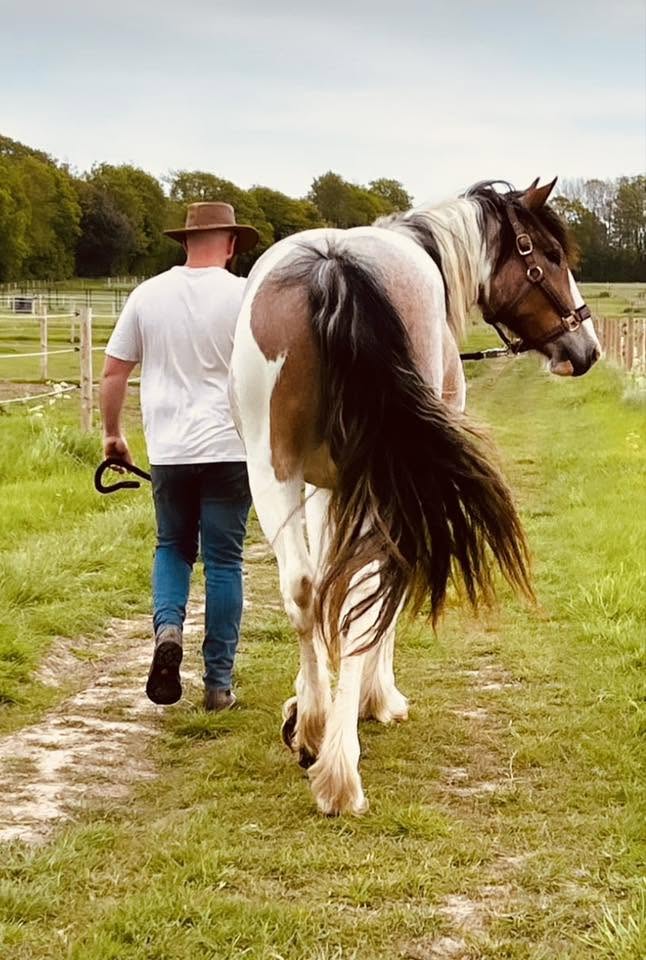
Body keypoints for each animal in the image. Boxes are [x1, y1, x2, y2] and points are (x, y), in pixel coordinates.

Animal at [229, 178, 600, 816]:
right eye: (550, 256)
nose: (587, 347)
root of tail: (333, 264)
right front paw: (375, 698)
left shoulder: (327, 484)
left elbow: (324, 580)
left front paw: (306, 706)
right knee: (367, 594)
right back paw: (341, 771)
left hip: (271, 468)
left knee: (303, 588)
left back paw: (314, 733)